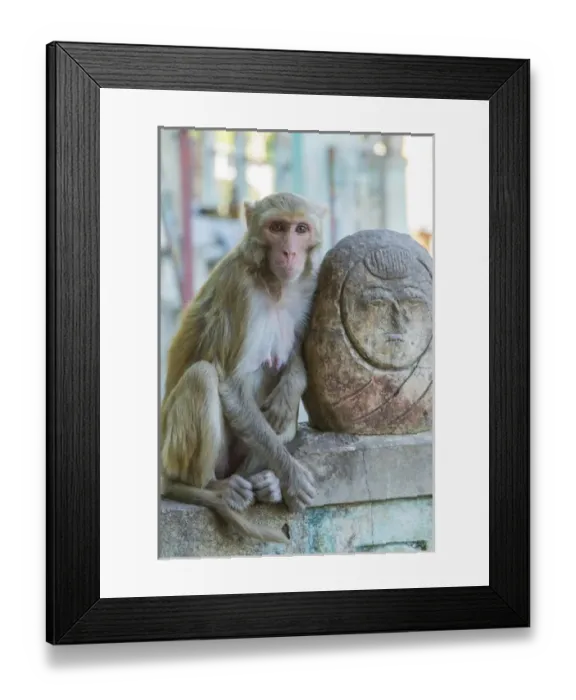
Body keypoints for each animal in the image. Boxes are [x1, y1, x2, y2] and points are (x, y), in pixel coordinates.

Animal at [160, 192, 327, 544]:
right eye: (277, 228)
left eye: (300, 229)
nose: (289, 252)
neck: (274, 285)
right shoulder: (239, 290)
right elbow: (230, 384)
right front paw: (292, 475)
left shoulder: (308, 287)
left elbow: (295, 358)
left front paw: (292, 386)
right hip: (173, 452)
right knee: (202, 376)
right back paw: (209, 488)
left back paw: (267, 483)